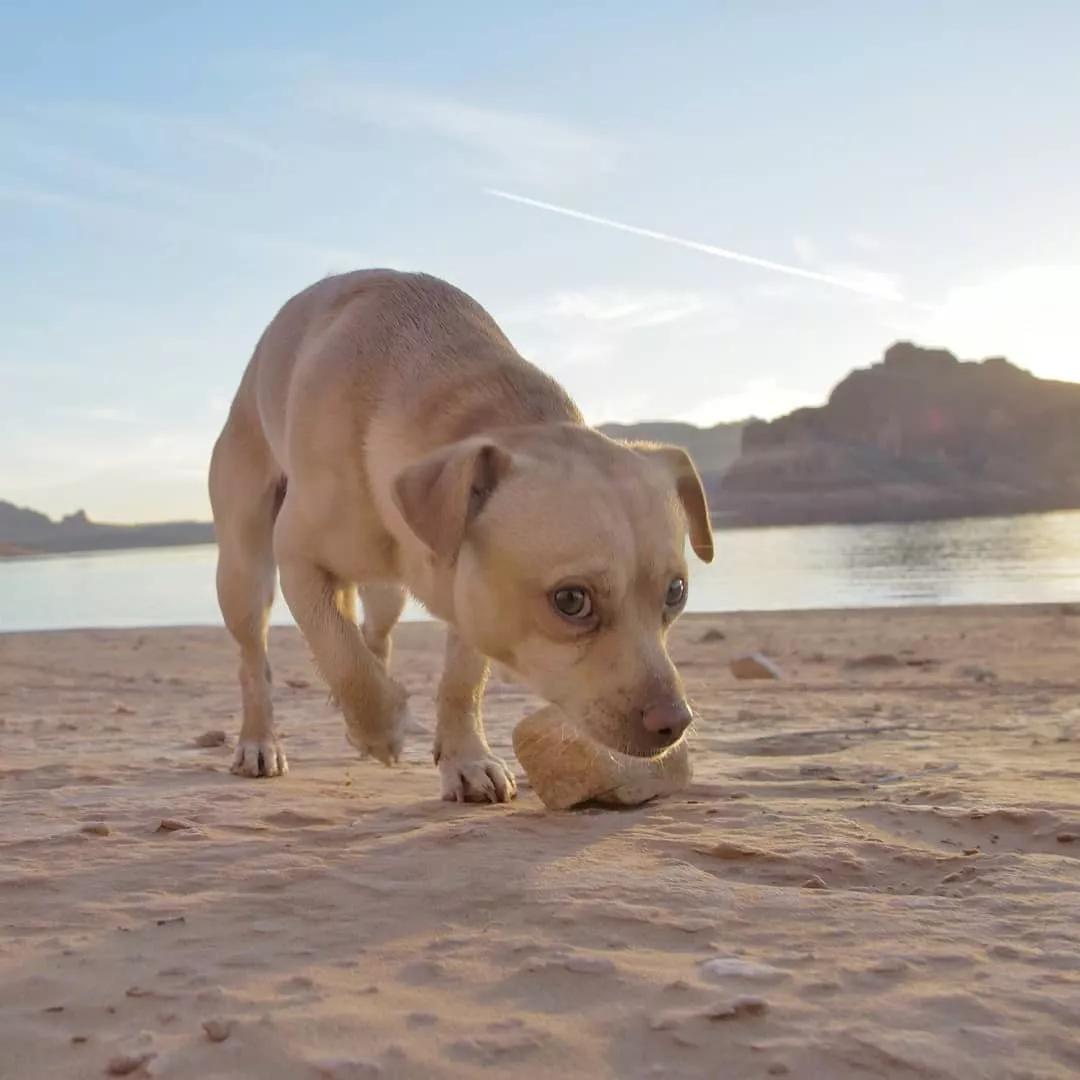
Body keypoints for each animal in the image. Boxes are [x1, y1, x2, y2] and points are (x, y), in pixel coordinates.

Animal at [210, 270, 717, 803]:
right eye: (571, 601)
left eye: (676, 593)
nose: (674, 722)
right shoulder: (299, 561)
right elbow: (341, 656)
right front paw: (380, 728)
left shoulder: (471, 593)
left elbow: (459, 680)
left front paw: (465, 760)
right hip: (245, 572)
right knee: (256, 660)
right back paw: (260, 742)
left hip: (384, 594)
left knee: (375, 633)